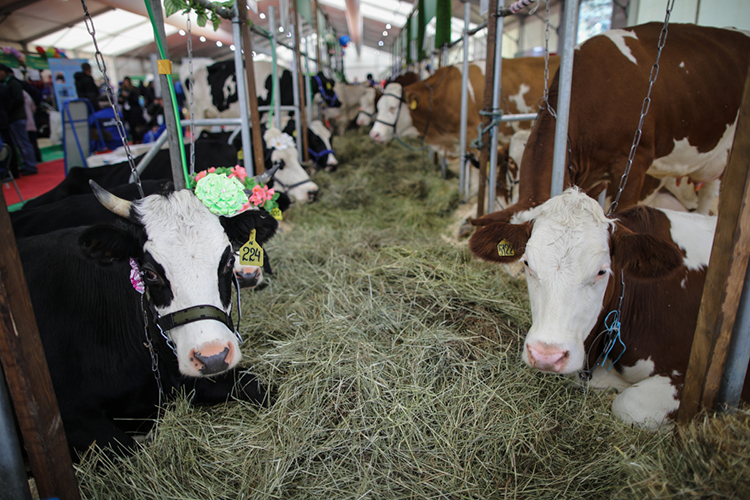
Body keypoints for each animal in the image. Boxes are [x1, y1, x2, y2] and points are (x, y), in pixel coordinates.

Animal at [18, 181, 282, 458]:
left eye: (228, 260)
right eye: (149, 273)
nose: (213, 357)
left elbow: (261, 385)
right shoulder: (65, 419)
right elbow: (128, 448)